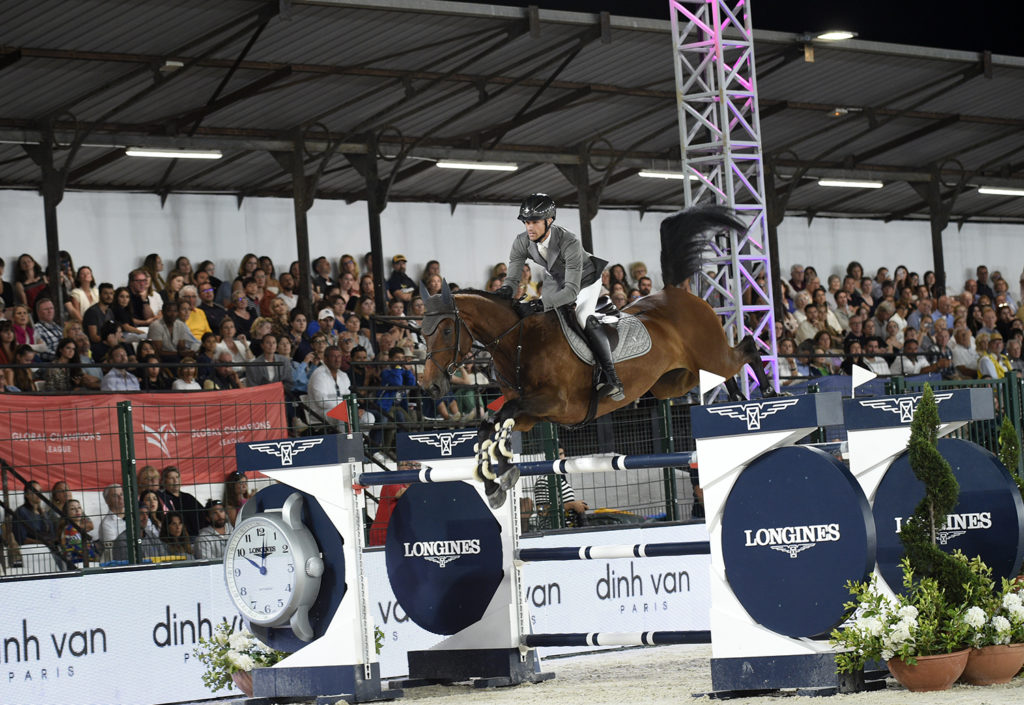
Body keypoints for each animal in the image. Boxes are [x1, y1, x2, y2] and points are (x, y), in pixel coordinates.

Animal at [419, 203, 770, 506]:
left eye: (447, 330)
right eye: (422, 331)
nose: (430, 386)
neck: (518, 342)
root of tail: (674, 292)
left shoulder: (555, 404)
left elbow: (502, 415)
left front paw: (501, 474)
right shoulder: (532, 417)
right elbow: (489, 425)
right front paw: (495, 482)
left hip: (707, 356)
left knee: (746, 349)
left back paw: (766, 393)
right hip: (673, 382)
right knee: (718, 372)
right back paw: (737, 396)